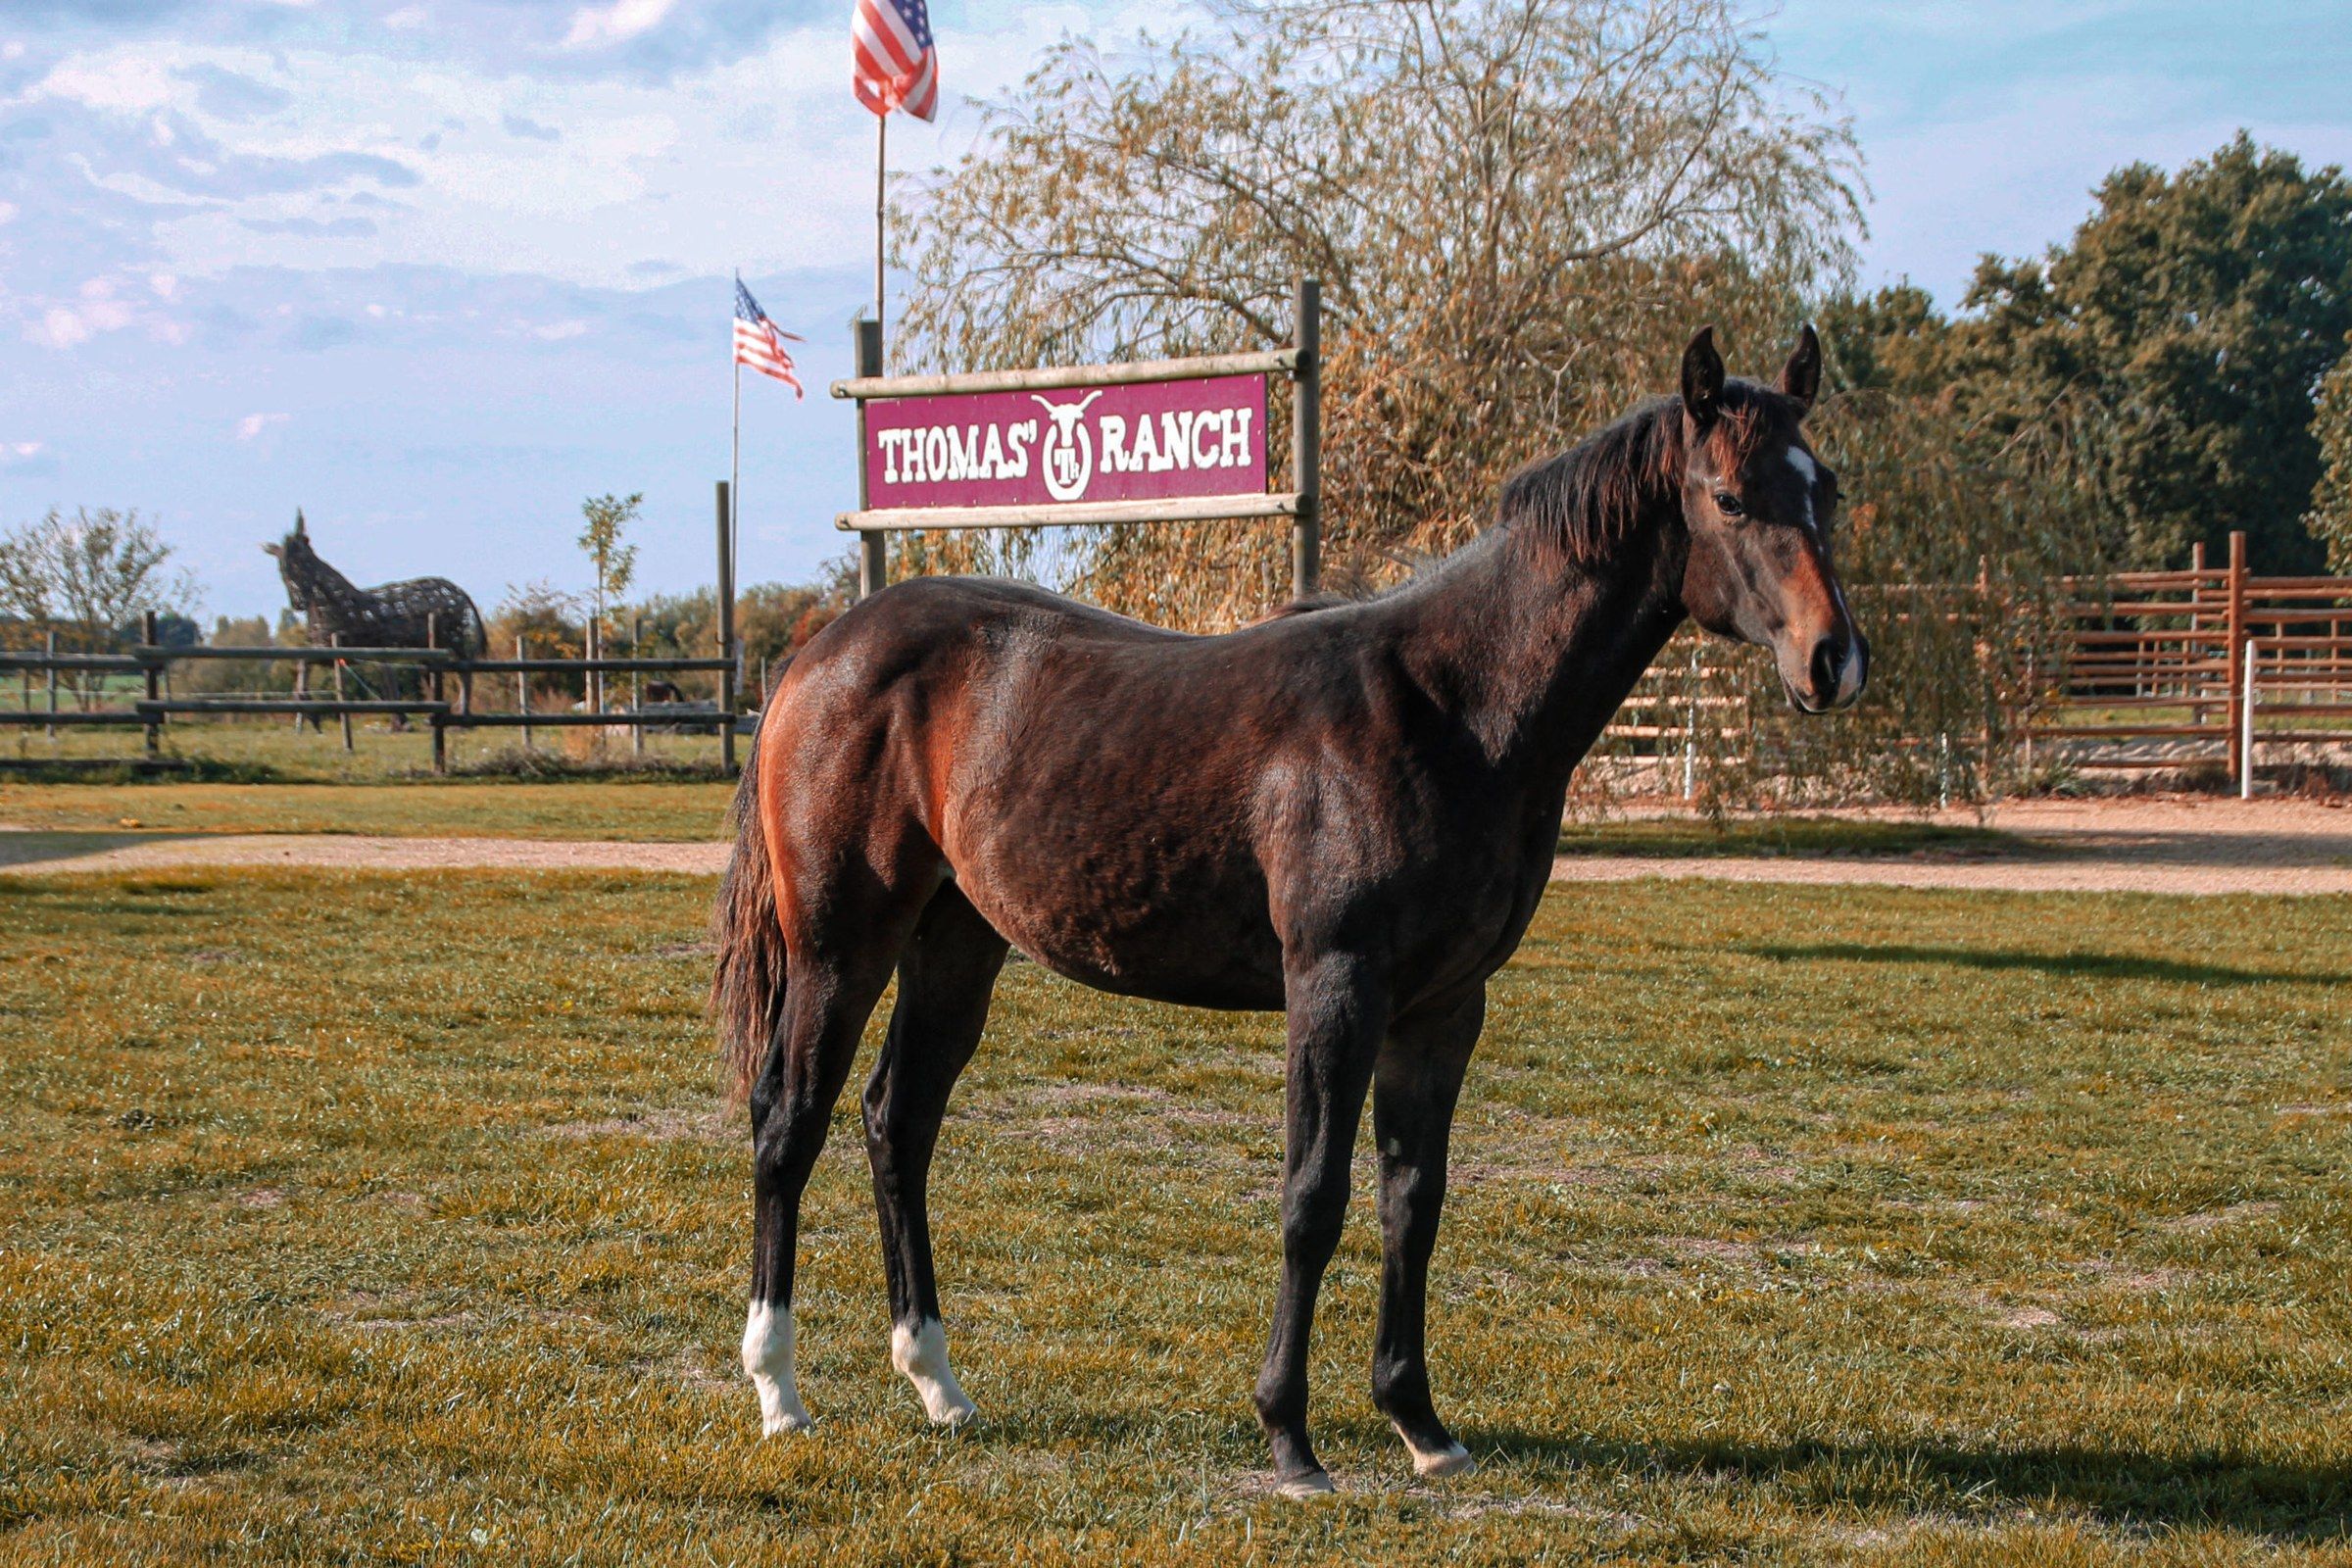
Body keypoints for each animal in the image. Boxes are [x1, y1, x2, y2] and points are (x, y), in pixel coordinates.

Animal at [710, 326, 1867, 1497]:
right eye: (1729, 496)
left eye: (1826, 488)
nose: (1835, 659)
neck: (1453, 705)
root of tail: (820, 652)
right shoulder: (1336, 986)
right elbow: (1314, 1197)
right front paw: (1290, 1436)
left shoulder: (1443, 1008)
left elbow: (1414, 1200)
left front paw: (1420, 1422)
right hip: (840, 946)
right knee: (788, 1124)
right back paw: (778, 1392)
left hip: (955, 947)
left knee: (897, 1122)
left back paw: (938, 1384)